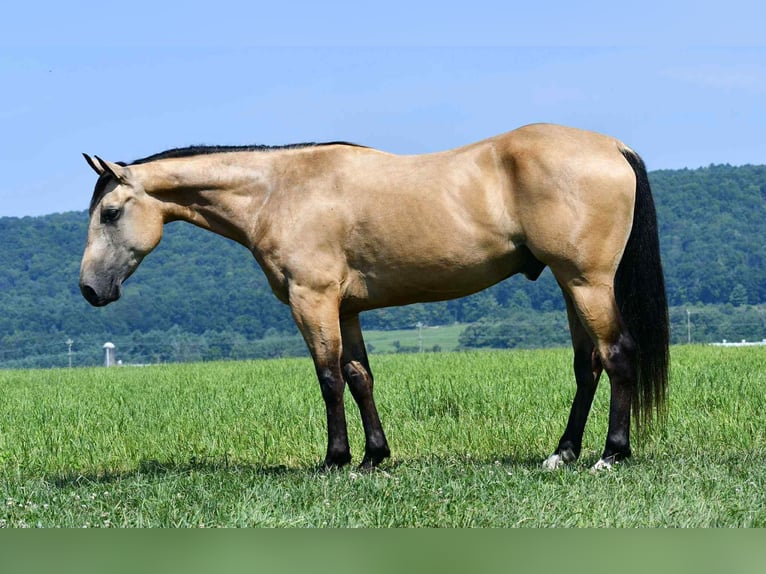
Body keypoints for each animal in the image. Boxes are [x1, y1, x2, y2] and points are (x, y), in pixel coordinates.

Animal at [79, 123, 669, 471]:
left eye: (110, 213)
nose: (89, 289)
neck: (279, 191)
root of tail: (611, 146)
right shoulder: (348, 309)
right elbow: (360, 377)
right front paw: (373, 458)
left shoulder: (312, 301)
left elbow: (328, 378)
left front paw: (335, 460)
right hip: (570, 285)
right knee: (587, 366)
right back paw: (562, 453)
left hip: (587, 283)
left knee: (618, 355)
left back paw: (611, 455)